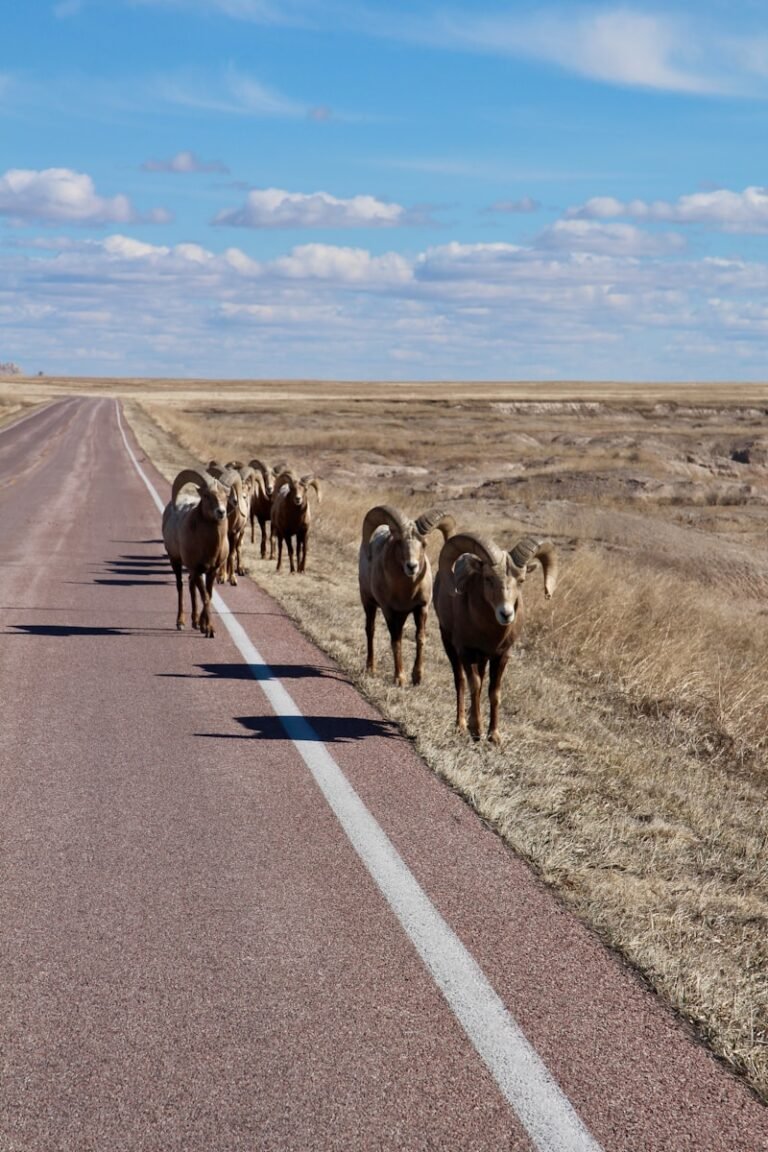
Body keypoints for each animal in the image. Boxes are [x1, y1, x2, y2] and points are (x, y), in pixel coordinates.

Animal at [162, 468, 230, 638]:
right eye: (206, 496)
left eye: (226, 496)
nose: (221, 512)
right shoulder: (197, 570)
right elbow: (205, 597)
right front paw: (210, 630)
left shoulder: (212, 571)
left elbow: (208, 596)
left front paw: (204, 626)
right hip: (175, 561)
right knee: (180, 586)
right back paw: (181, 622)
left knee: (191, 586)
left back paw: (196, 621)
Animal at [358, 504, 456, 686]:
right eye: (399, 542)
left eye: (424, 544)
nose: (412, 566)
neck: (406, 592)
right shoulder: (388, 611)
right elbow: (396, 641)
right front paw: (400, 678)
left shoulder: (421, 608)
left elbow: (420, 639)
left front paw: (417, 677)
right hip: (368, 602)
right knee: (370, 630)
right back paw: (371, 668)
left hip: (402, 615)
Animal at [433, 532, 557, 744]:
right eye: (488, 578)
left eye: (521, 580)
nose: (506, 614)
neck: (489, 633)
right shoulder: (466, 652)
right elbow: (473, 685)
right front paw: (477, 730)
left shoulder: (501, 656)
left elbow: (494, 692)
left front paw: (494, 736)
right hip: (449, 644)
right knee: (461, 681)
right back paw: (461, 726)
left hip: (482, 659)